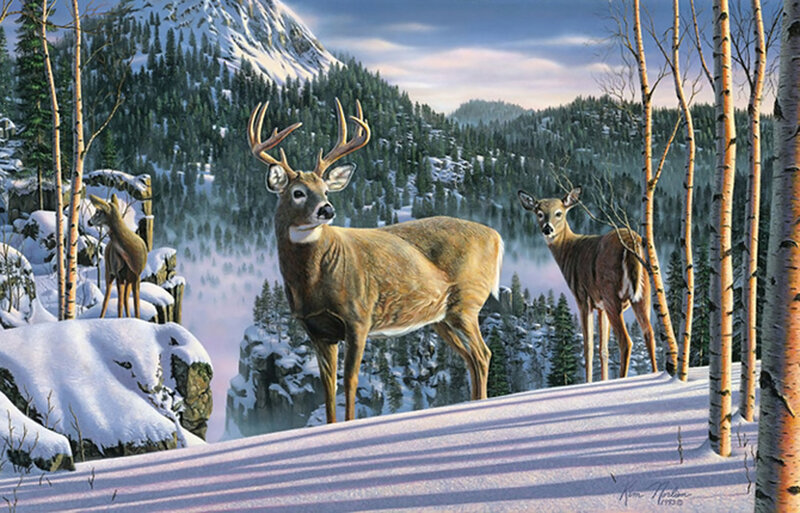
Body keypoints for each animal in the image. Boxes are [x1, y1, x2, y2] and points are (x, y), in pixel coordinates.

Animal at [248, 98, 504, 423]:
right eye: (297, 192)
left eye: (326, 190)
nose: (327, 209)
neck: (313, 283)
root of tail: (496, 236)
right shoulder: (317, 330)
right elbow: (328, 386)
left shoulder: (358, 316)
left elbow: (350, 380)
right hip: (442, 317)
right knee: (472, 358)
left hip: (467, 301)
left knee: (483, 354)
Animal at [517, 187, 657, 382]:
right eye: (539, 213)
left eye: (559, 213)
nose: (547, 228)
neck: (569, 249)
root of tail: (631, 242)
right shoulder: (601, 307)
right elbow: (603, 350)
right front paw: (602, 380)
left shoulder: (583, 297)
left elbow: (588, 348)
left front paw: (589, 382)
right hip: (643, 292)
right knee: (649, 333)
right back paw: (656, 374)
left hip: (611, 293)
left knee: (625, 341)